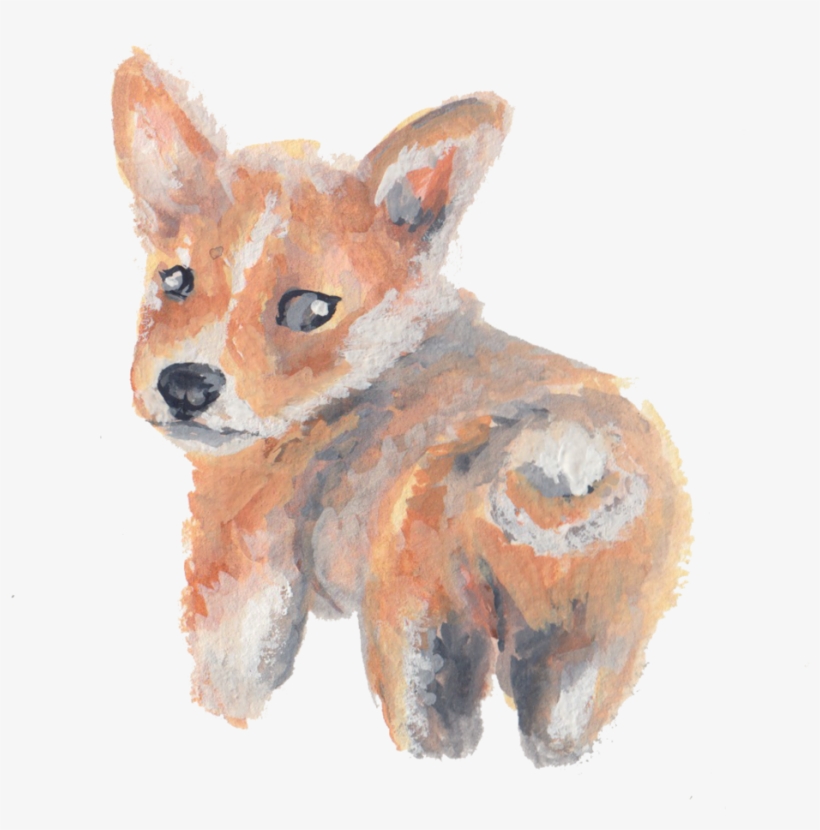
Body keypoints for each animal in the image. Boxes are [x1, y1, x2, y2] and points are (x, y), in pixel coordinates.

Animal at [112, 50, 690, 766]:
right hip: (587, 664)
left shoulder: (240, 583)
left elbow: (228, 690)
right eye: (176, 280)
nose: (186, 385)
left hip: (419, 647)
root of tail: (568, 444)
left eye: (310, 309)